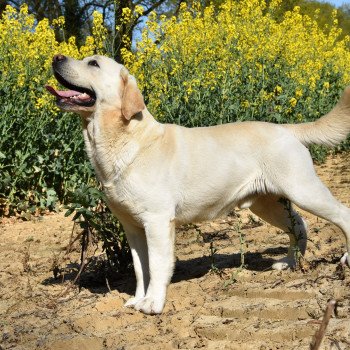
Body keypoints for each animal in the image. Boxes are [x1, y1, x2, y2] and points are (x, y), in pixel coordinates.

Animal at [47, 54, 350, 314]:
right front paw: (137, 300)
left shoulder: (157, 221)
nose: (57, 57)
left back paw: (345, 259)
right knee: (300, 224)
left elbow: (157, 265)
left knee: (341, 214)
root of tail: (286, 128)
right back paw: (290, 262)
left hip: (304, 190)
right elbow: (140, 268)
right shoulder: (132, 227)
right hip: (267, 204)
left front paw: (153, 303)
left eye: (93, 63)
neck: (126, 142)